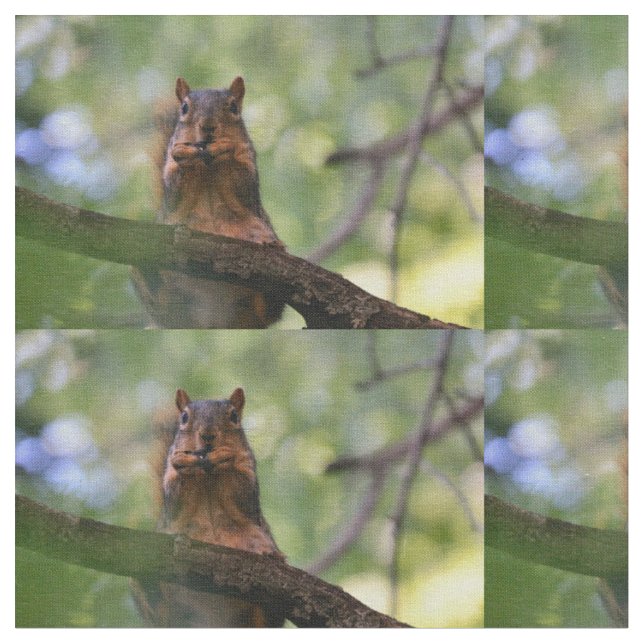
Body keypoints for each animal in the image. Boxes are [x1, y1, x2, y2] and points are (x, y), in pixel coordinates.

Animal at [131, 77, 285, 328]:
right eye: (184, 108)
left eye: (233, 107)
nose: (208, 126)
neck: (208, 167)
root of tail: (216, 316)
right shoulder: (171, 183)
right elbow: (174, 189)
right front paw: (185, 158)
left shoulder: (248, 164)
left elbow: (243, 184)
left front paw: (226, 149)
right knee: (167, 309)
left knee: (266, 312)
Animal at [132, 388, 285, 627]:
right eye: (184, 417)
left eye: (234, 416)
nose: (208, 435)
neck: (208, 477)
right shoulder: (171, 496)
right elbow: (175, 499)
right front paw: (184, 466)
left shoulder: (249, 475)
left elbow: (244, 494)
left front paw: (226, 459)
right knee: (162, 613)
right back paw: (152, 591)